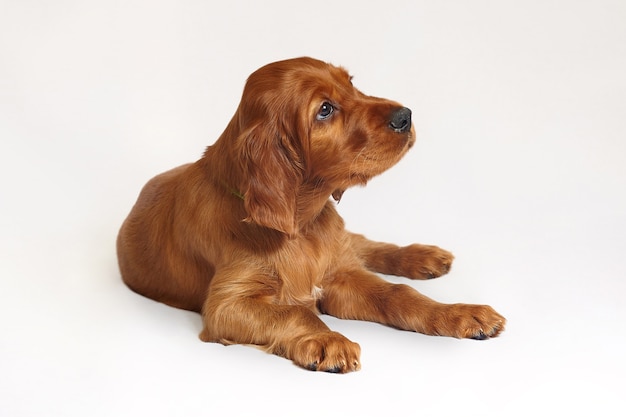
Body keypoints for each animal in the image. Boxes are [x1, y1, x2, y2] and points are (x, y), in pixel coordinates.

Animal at [117, 57, 504, 372]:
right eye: (325, 109)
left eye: (351, 83)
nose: (405, 115)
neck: (302, 225)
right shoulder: (227, 304)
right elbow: (295, 310)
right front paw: (327, 339)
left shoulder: (339, 276)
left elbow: (399, 294)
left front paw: (458, 313)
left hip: (342, 245)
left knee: (364, 245)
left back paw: (424, 256)